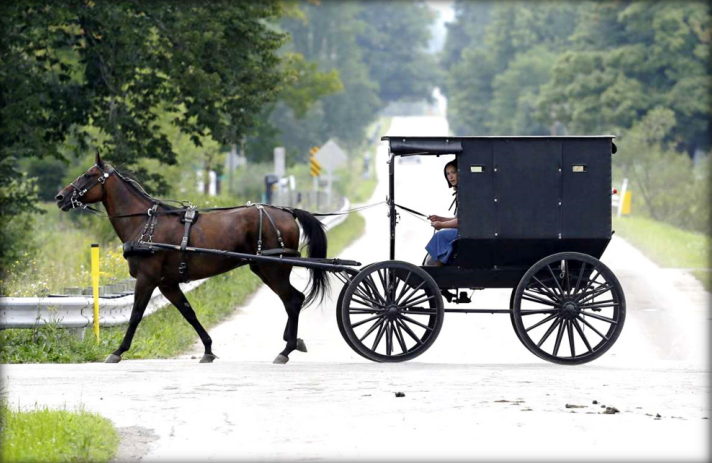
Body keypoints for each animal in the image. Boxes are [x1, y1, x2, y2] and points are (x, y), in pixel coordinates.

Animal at [55, 152, 330, 366]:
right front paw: (208, 349)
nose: (60, 197)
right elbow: (189, 313)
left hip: (272, 269)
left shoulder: (147, 279)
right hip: (262, 268)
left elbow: (135, 315)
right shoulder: (167, 283)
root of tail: (287, 212)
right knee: (292, 300)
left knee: (293, 300)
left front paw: (118, 351)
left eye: (88, 175)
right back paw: (292, 342)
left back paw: (286, 349)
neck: (146, 223)